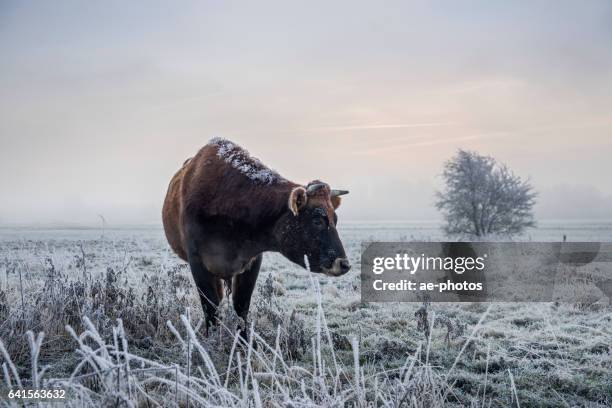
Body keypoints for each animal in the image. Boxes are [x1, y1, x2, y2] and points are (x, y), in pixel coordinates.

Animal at [160, 139, 352, 336]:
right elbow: (211, 309)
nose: (344, 264)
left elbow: (241, 307)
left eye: (335, 219)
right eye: (317, 220)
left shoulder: (252, 262)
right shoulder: (197, 263)